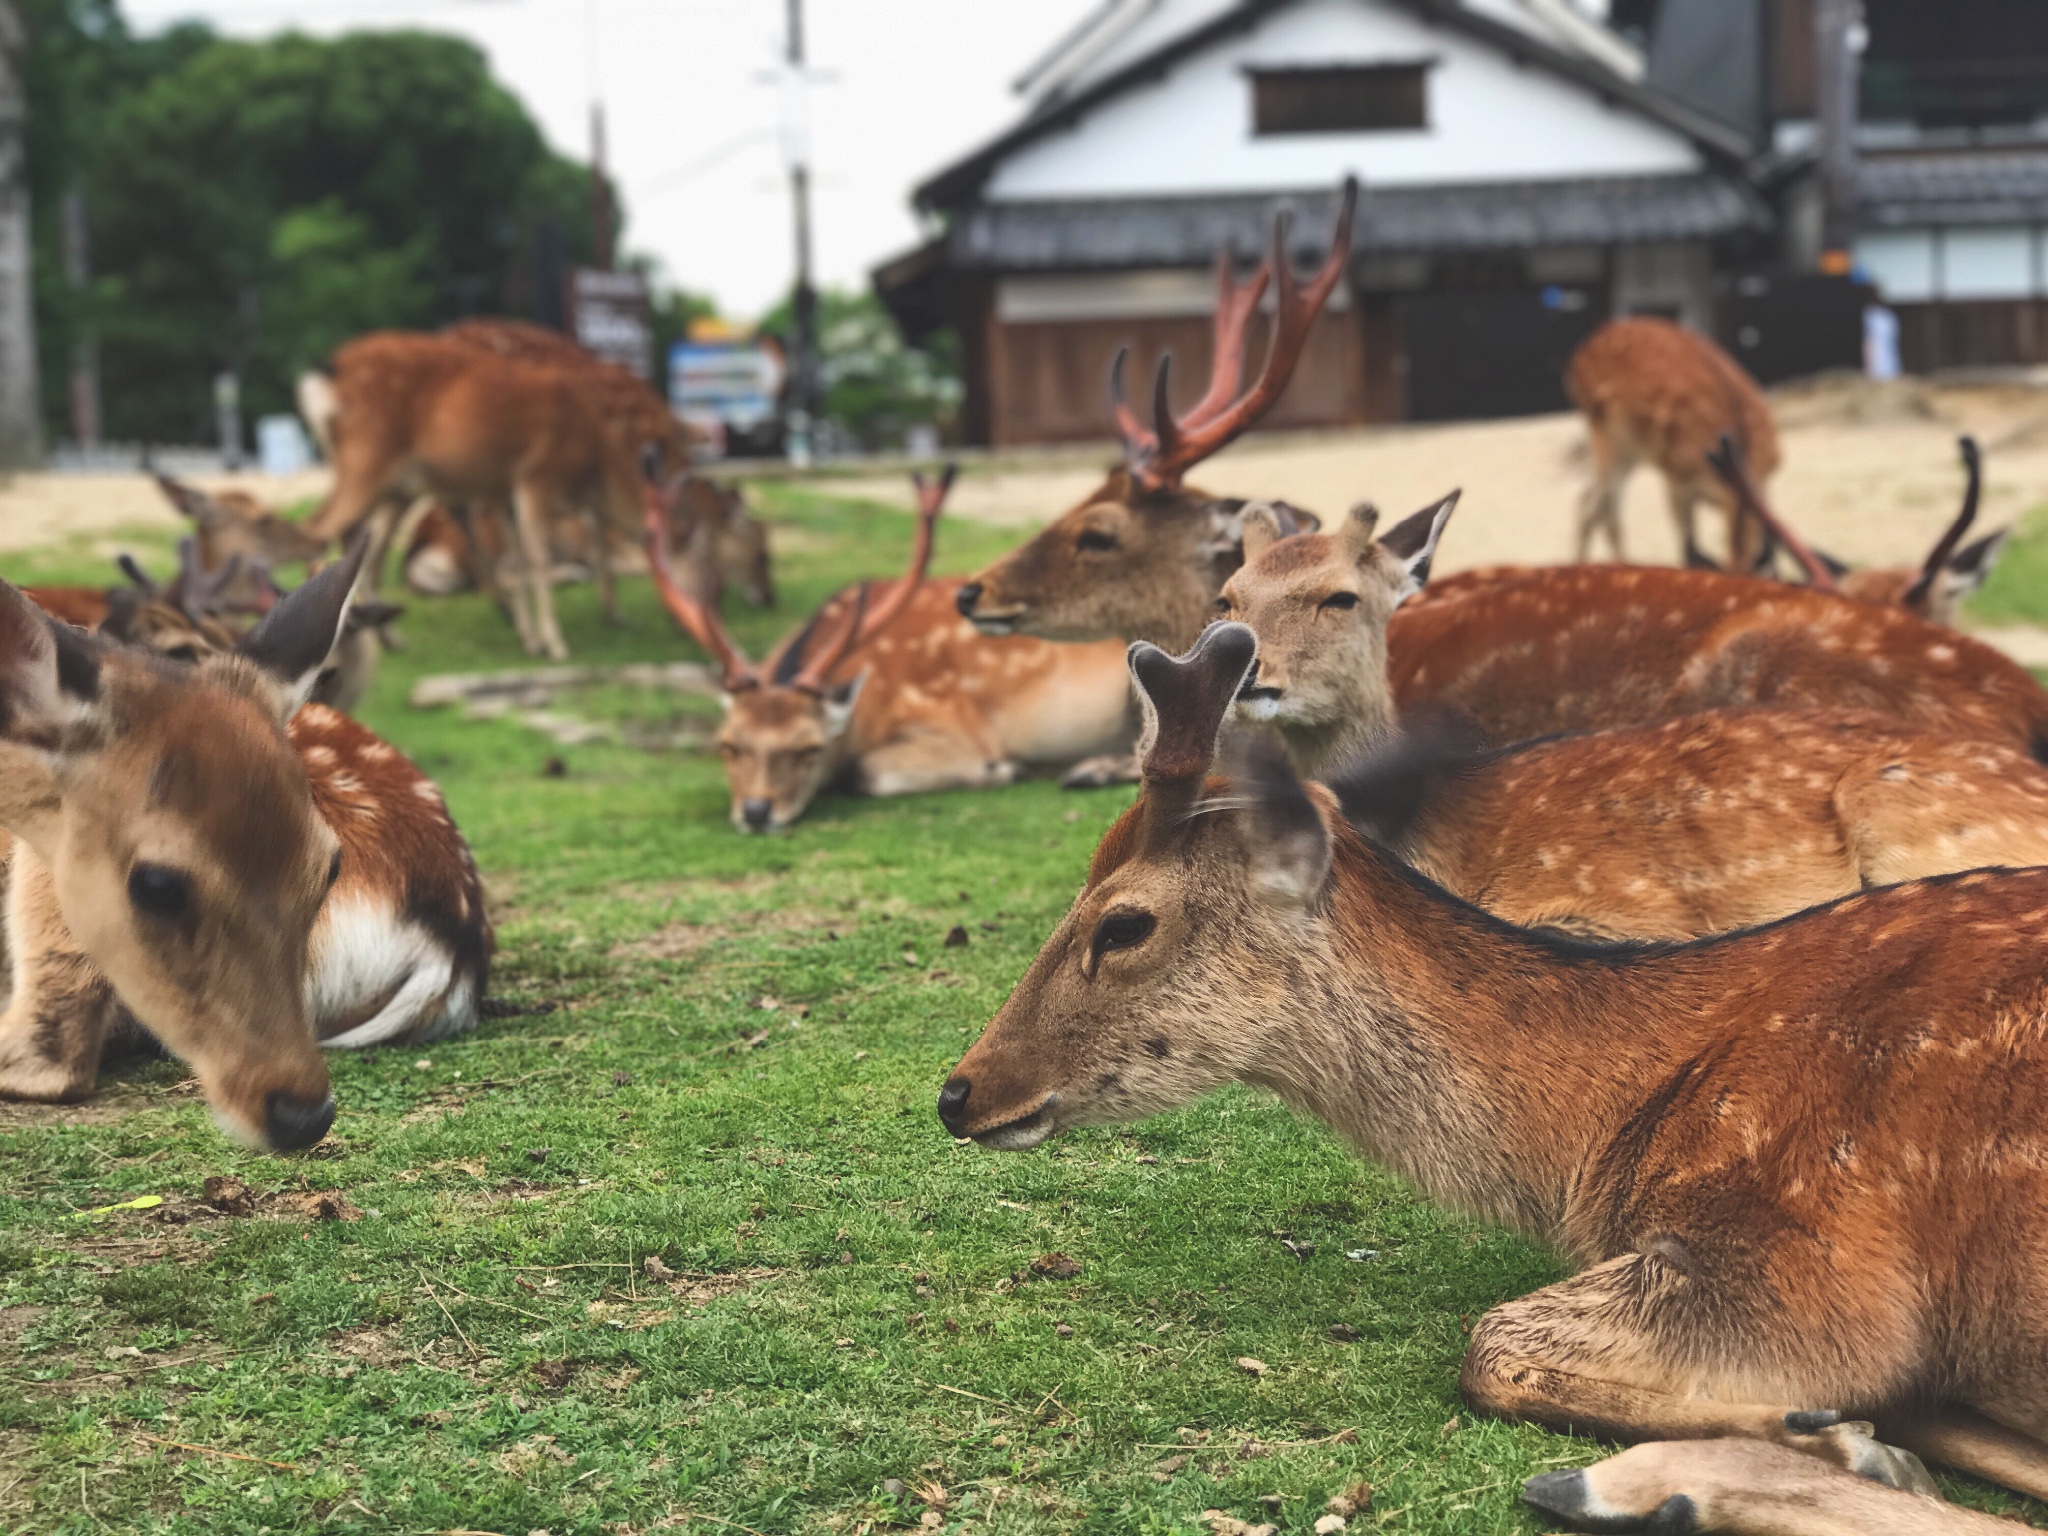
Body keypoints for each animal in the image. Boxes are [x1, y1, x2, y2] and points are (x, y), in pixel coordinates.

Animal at [643, 466, 1138, 835]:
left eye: (810, 748)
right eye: (727, 744)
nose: (756, 812)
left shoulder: (956, 726)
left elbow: (868, 772)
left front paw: (1007, 770)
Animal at [942, 622, 2048, 1531]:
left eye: (1123, 922)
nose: (958, 1092)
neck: (1607, 1133)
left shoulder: (1807, 1257)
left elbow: (1489, 1341)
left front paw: (1846, 1438)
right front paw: (1860, 1430)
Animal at [1564, 315, 1777, 569]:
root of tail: (1577, 357)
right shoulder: (1676, 473)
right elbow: (1689, 549)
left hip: (1629, 449)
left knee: (1590, 502)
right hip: (1603, 431)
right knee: (1607, 510)